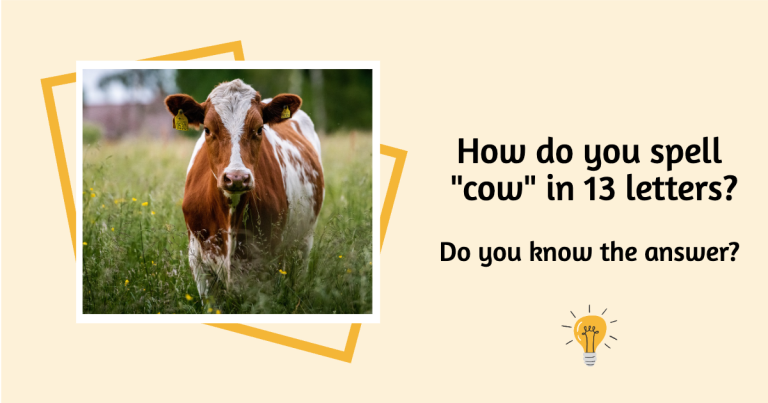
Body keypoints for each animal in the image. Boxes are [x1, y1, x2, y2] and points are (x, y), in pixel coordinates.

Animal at [165, 79, 324, 299]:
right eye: (207, 129)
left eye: (259, 129)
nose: (237, 177)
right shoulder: (198, 262)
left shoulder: (267, 262)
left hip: (303, 243)